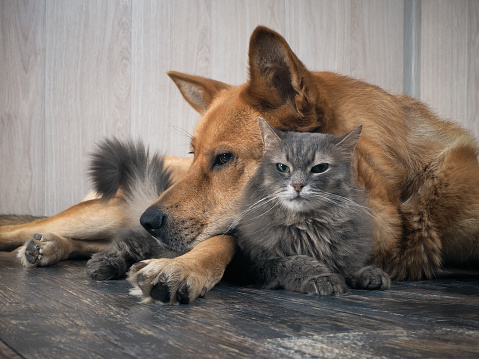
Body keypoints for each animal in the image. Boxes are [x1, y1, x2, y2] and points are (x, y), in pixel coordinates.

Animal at [233, 119, 394, 296]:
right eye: (282, 167)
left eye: (320, 168)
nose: (297, 185)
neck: (308, 226)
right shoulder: (256, 265)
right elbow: (297, 262)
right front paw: (323, 277)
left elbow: (348, 266)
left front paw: (367, 273)